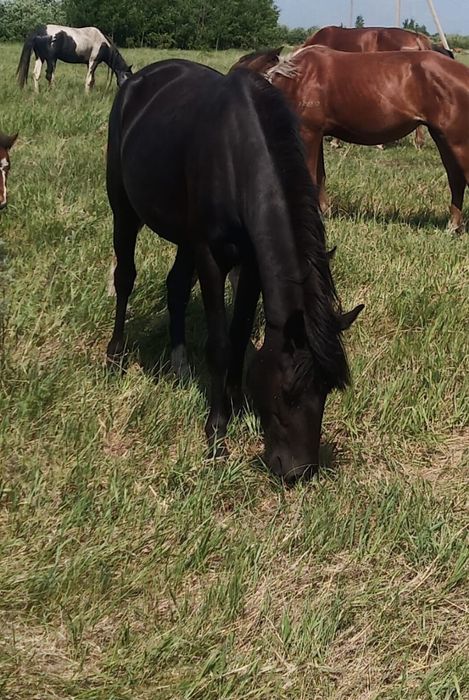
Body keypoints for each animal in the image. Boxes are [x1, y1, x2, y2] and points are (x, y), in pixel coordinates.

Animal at [106, 59, 363, 482]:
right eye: (288, 392)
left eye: (326, 390)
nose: (298, 472)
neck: (237, 154)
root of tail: (135, 81)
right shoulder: (212, 257)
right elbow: (221, 344)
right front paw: (216, 433)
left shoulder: (252, 261)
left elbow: (241, 334)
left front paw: (237, 401)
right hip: (123, 208)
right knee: (124, 277)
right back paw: (114, 358)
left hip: (184, 237)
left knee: (176, 287)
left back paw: (180, 367)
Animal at [262, 46, 469, 234]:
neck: (297, 79)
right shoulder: (316, 135)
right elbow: (320, 177)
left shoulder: (309, 132)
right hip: (442, 138)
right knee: (456, 180)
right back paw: (453, 227)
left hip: (457, 142)